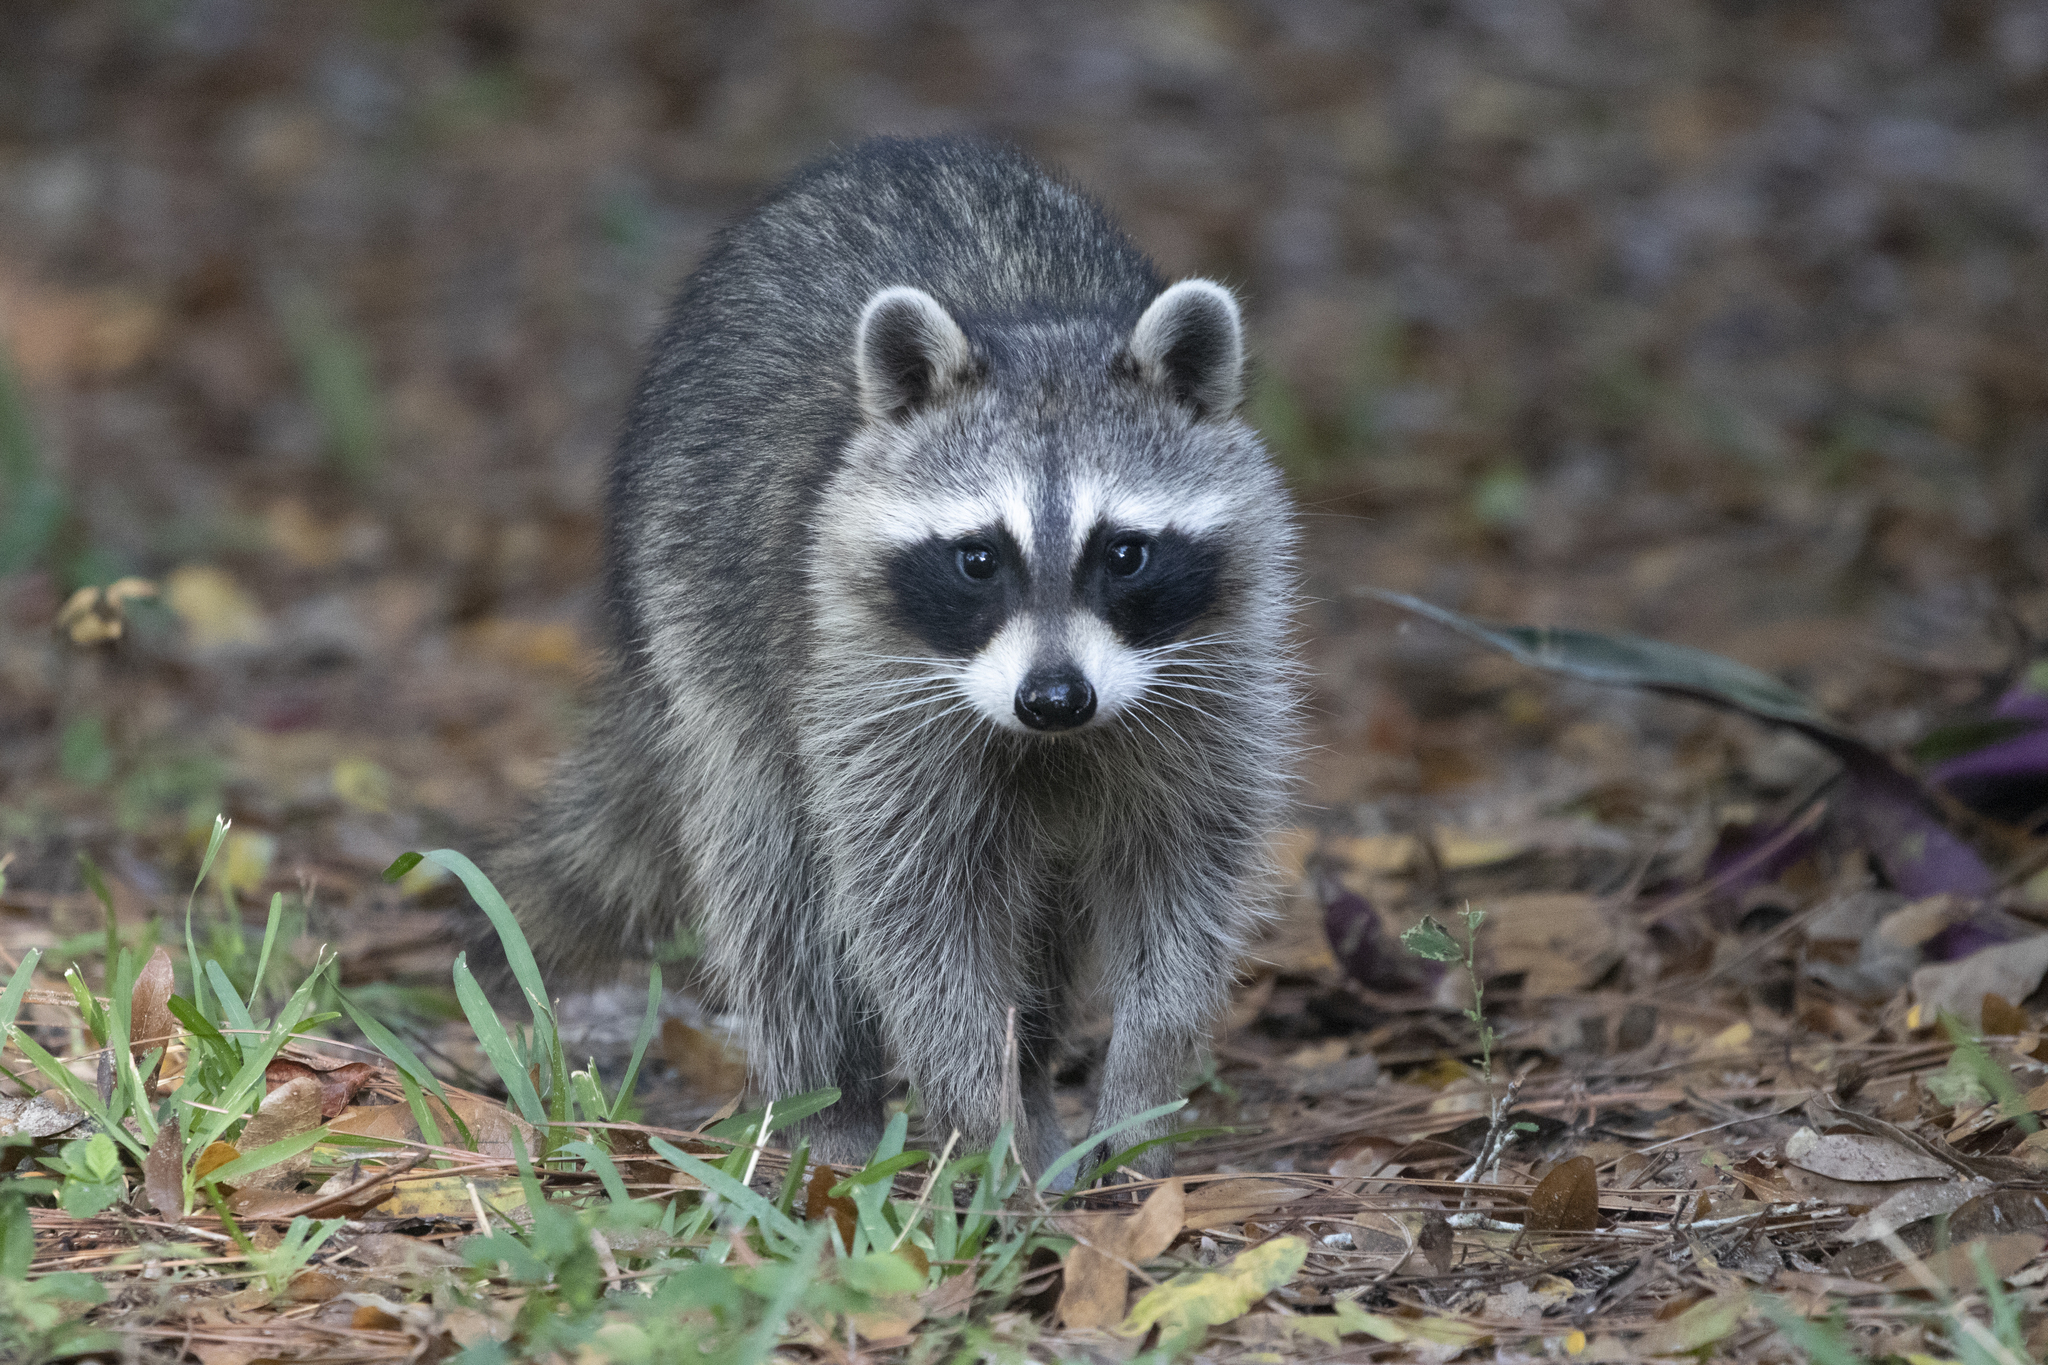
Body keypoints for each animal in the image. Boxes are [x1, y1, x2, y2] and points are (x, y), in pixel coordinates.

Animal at [497, 141, 1294, 1186]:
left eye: (1125, 552)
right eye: (978, 558)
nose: (1054, 698)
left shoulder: (1217, 671)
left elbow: (1185, 876)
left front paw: (1139, 1098)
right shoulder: (862, 678)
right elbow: (916, 917)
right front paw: (982, 1122)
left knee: (1041, 920)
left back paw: (1032, 1077)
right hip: (695, 616)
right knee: (778, 874)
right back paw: (830, 1106)